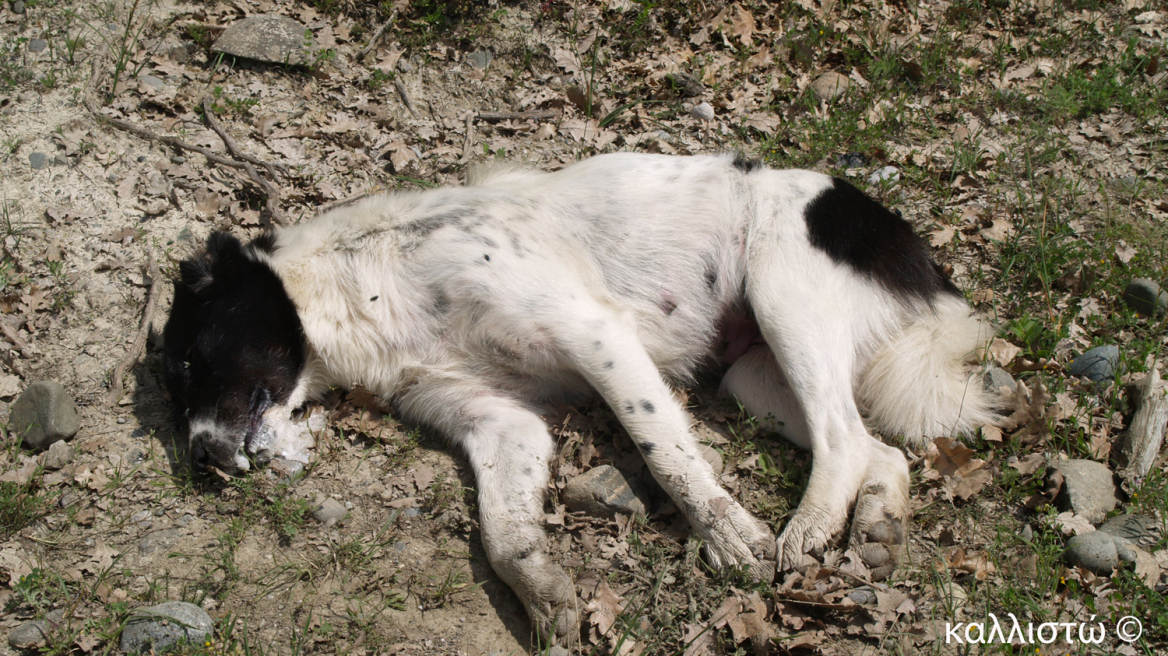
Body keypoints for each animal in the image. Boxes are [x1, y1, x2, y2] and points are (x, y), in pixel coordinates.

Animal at [164, 151, 995, 639]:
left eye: (193, 362)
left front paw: (727, 536)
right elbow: (505, 535)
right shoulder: (499, 423)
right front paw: (545, 596)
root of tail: (900, 234)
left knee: (846, 440)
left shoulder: (595, 334)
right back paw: (875, 531)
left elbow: (666, 455)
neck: (360, 277)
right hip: (753, 377)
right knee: (880, 448)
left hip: (782, 292)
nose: (199, 458)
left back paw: (808, 531)